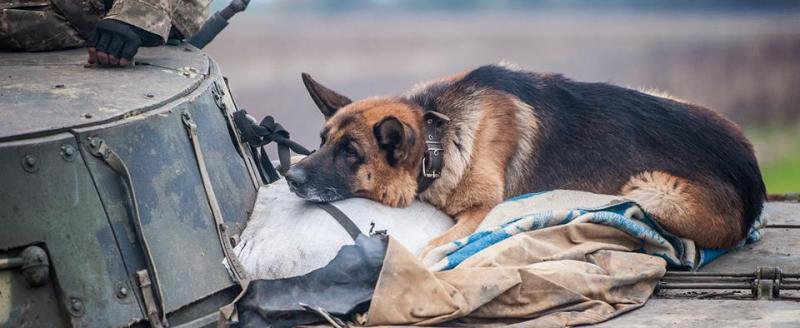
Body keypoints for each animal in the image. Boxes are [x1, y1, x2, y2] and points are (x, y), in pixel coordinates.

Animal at [284, 63, 764, 254]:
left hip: (651, 191)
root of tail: (753, 173)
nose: (290, 177)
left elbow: (432, 246)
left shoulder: (481, 210)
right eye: (322, 141)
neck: (439, 140)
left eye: (350, 152)